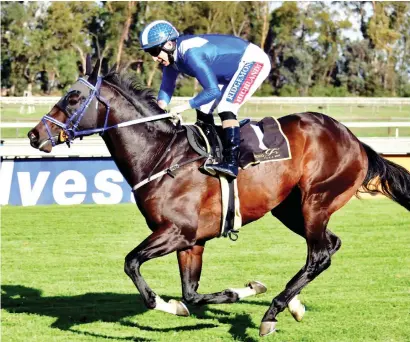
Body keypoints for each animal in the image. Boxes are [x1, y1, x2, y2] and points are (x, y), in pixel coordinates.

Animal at [27, 60, 408, 336]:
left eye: (72, 98)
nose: (33, 135)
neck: (161, 156)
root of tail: (354, 139)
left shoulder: (176, 232)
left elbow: (132, 264)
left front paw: (167, 305)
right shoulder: (191, 241)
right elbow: (191, 294)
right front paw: (244, 289)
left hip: (316, 201)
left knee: (319, 255)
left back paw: (272, 312)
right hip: (289, 208)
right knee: (330, 246)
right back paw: (294, 304)